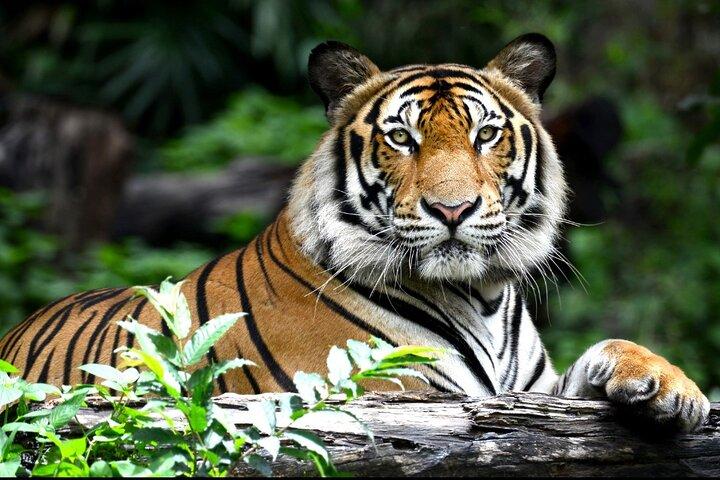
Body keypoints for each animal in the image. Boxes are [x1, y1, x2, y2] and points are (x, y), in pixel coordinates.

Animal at [0, 33, 709, 431]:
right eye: (402, 138)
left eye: (486, 134)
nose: (452, 210)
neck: (481, 297)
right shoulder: (393, 395)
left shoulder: (532, 396)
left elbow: (605, 352)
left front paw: (672, 387)